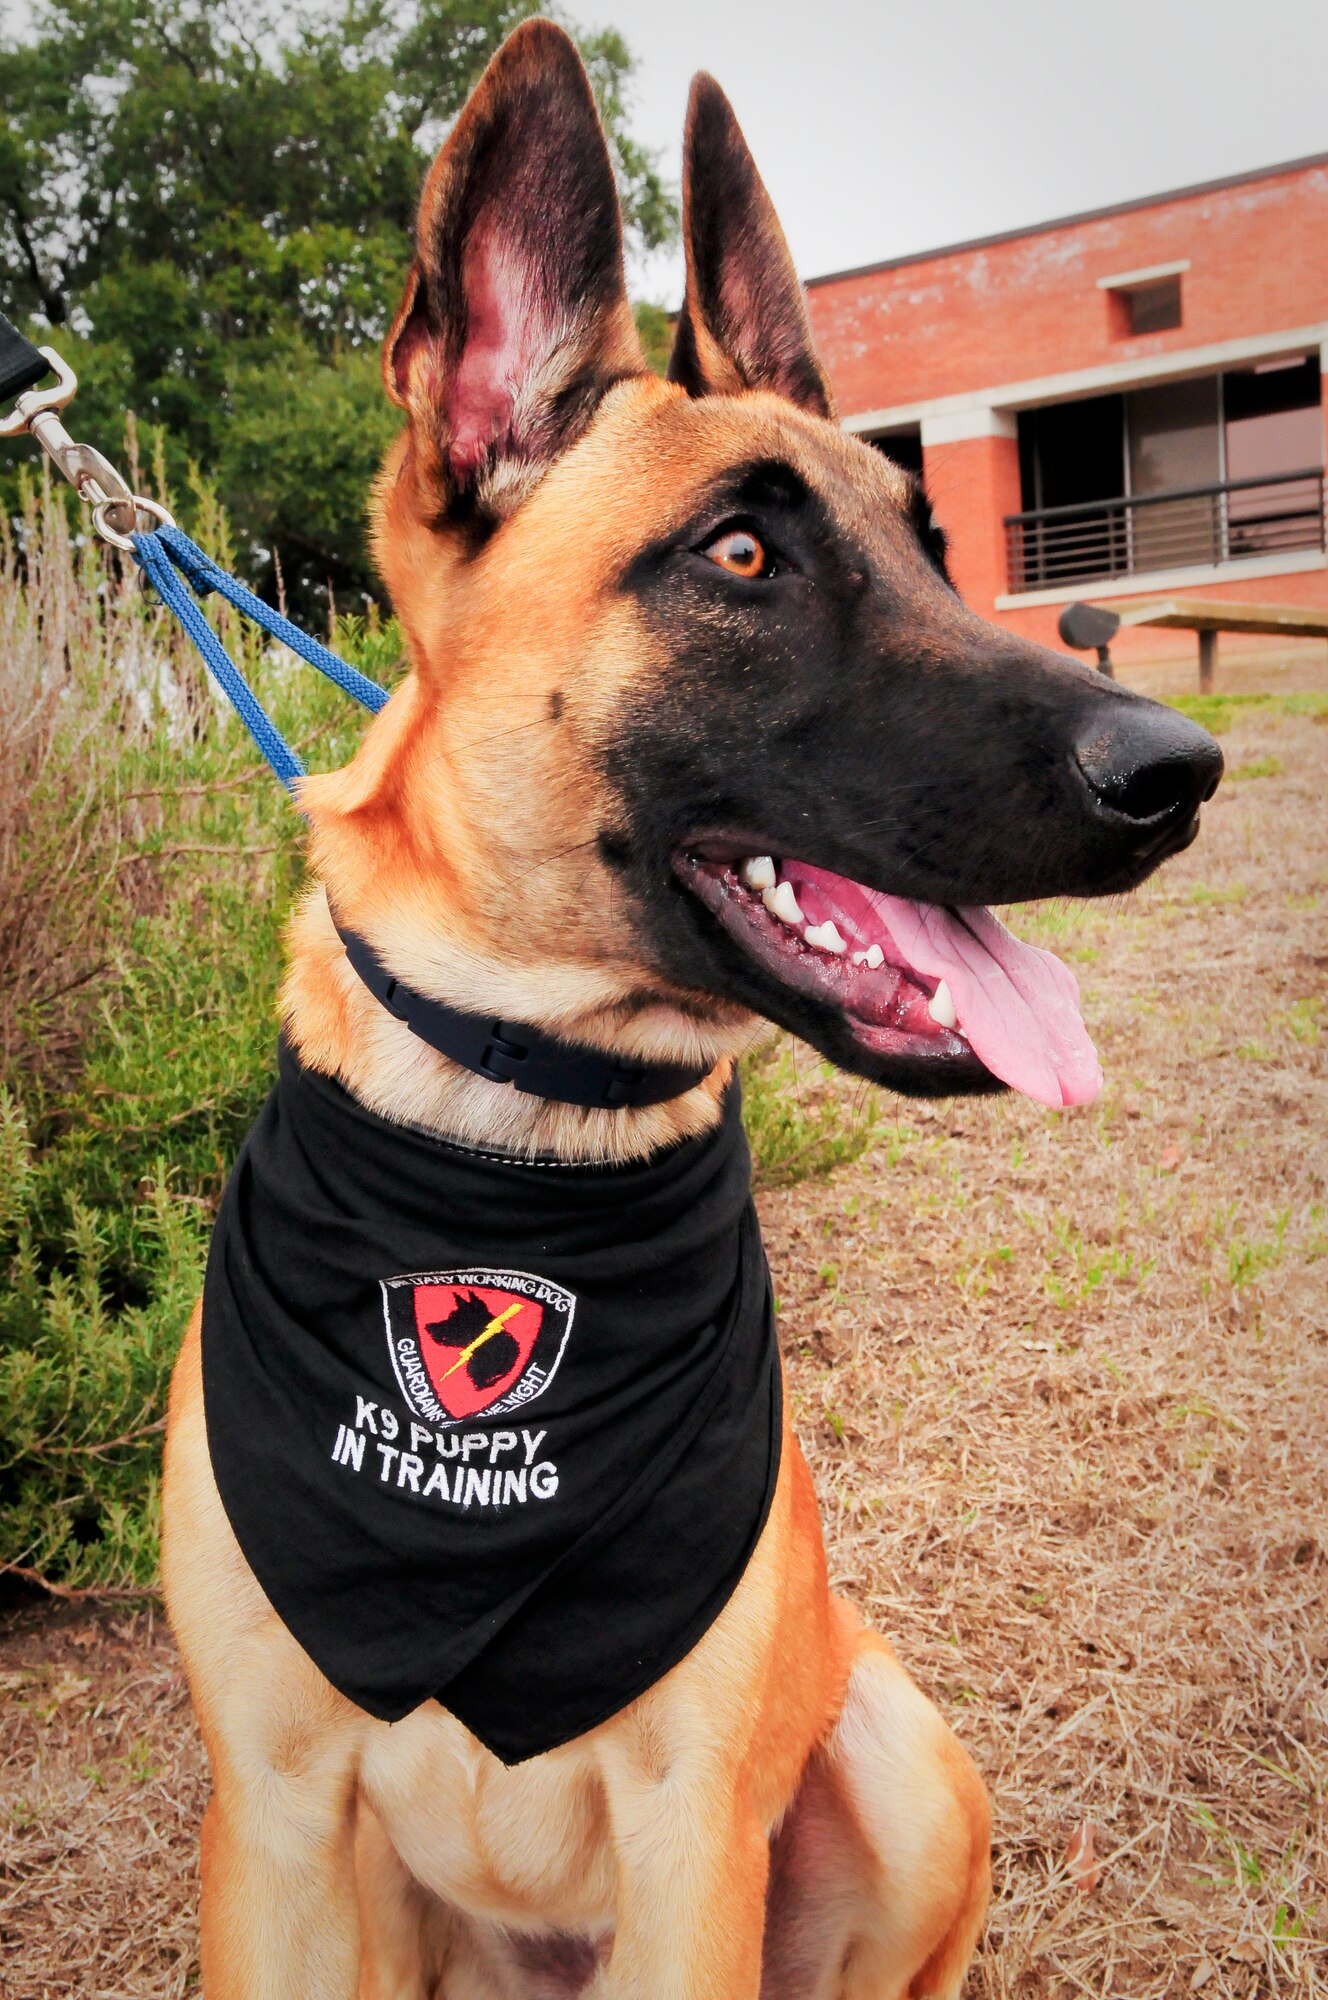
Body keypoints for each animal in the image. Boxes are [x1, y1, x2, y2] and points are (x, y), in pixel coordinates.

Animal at [161, 19, 1232, 2000]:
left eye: (933, 547)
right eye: (739, 557)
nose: (1178, 771)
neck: (519, 1149)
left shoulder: (688, 1841)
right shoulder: (267, 1825)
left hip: (898, 1758)